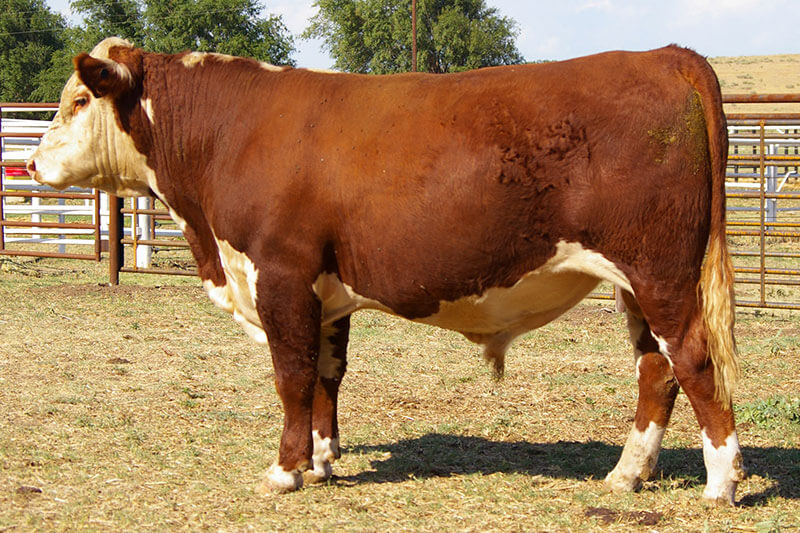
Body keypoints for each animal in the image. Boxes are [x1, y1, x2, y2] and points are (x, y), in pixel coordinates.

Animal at [27, 38, 744, 505]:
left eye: (81, 98)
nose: (32, 164)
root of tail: (662, 54)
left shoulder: (280, 273)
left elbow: (291, 376)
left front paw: (284, 471)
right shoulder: (323, 288)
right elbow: (325, 375)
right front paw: (321, 459)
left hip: (660, 273)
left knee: (693, 359)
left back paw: (721, 482)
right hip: (636, 284)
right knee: (656, 370)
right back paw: (627, 474)